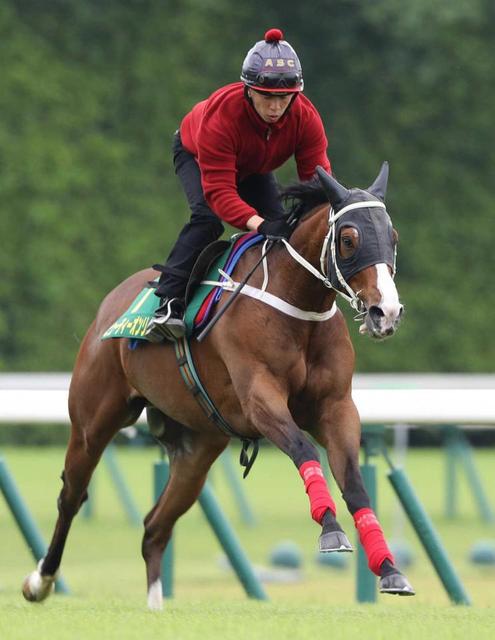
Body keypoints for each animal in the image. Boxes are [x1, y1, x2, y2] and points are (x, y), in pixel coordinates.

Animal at [22, 162, 414, 608]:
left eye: (393, 238)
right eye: (349, 239)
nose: (387, 312)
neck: (298, 306)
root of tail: (112, 303)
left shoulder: (336, 406)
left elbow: (354, 481)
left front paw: (390, 568)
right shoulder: (260, 399)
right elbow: (303, 448)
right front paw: (331, 530)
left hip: (197, 447)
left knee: (154, 527)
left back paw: (155, 606)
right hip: (93, 420)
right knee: (71, 495)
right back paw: (40, 580)